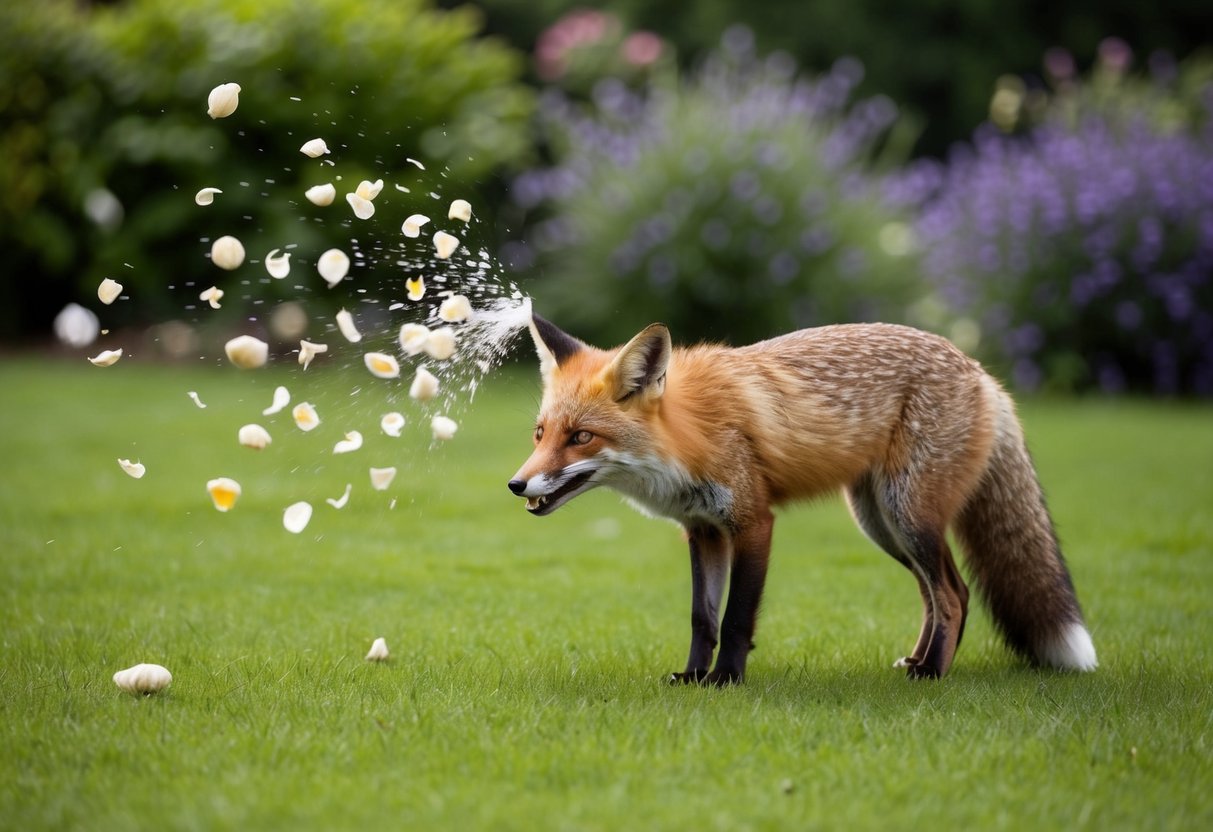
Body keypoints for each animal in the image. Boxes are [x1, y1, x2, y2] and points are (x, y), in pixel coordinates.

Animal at [507, 315, 1098, 682]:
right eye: (540, 434)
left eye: (581, 437)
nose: (516, 485)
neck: (689, 435)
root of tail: (980, 372)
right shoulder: (703, 530)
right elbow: (703, 618)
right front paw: (693, 675)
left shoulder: (752, 521)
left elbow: (736, 618)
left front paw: (725, 680)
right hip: (881, 523)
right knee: (938, 594)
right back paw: (919, 661)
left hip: (909, 515)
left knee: (954, 592)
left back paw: (933, 673)